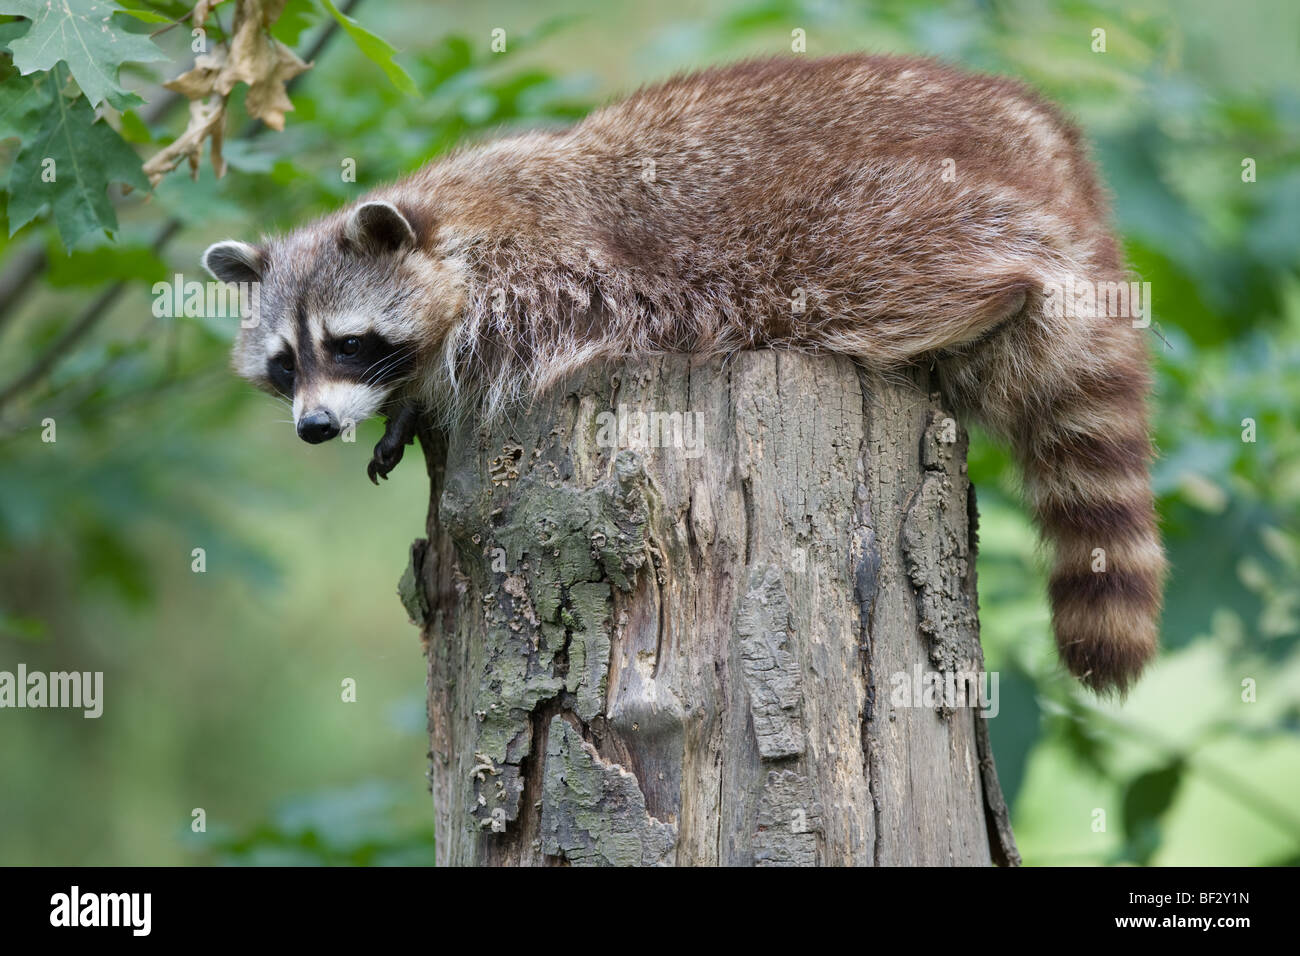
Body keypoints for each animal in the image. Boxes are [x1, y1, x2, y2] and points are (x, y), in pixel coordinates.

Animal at [202, 54, 1170, 697]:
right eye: (286, 364)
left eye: (349, 343)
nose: (314, 427)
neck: (446, 223)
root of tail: (1067, 175)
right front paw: (406, 406)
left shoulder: (558, 266)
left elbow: (535, 339)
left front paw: (429, 392)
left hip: (909, 214)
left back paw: (979, 300)